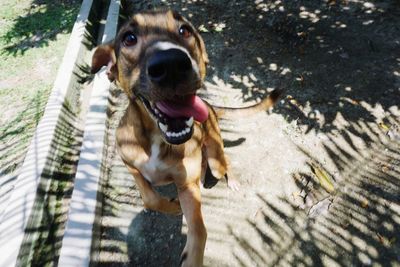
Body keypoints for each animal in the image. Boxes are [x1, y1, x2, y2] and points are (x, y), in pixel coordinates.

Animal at [91, 9, 280, 266]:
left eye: (185, 30)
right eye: (129, 38)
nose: (171, 64)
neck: (158, 140)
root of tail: (210, 107)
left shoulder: (187, 187)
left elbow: (199, 229)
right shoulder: (130, 164)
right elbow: (150, 198)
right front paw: (171, 207)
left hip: (216, 156)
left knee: (224, 163)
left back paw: (231, 180)